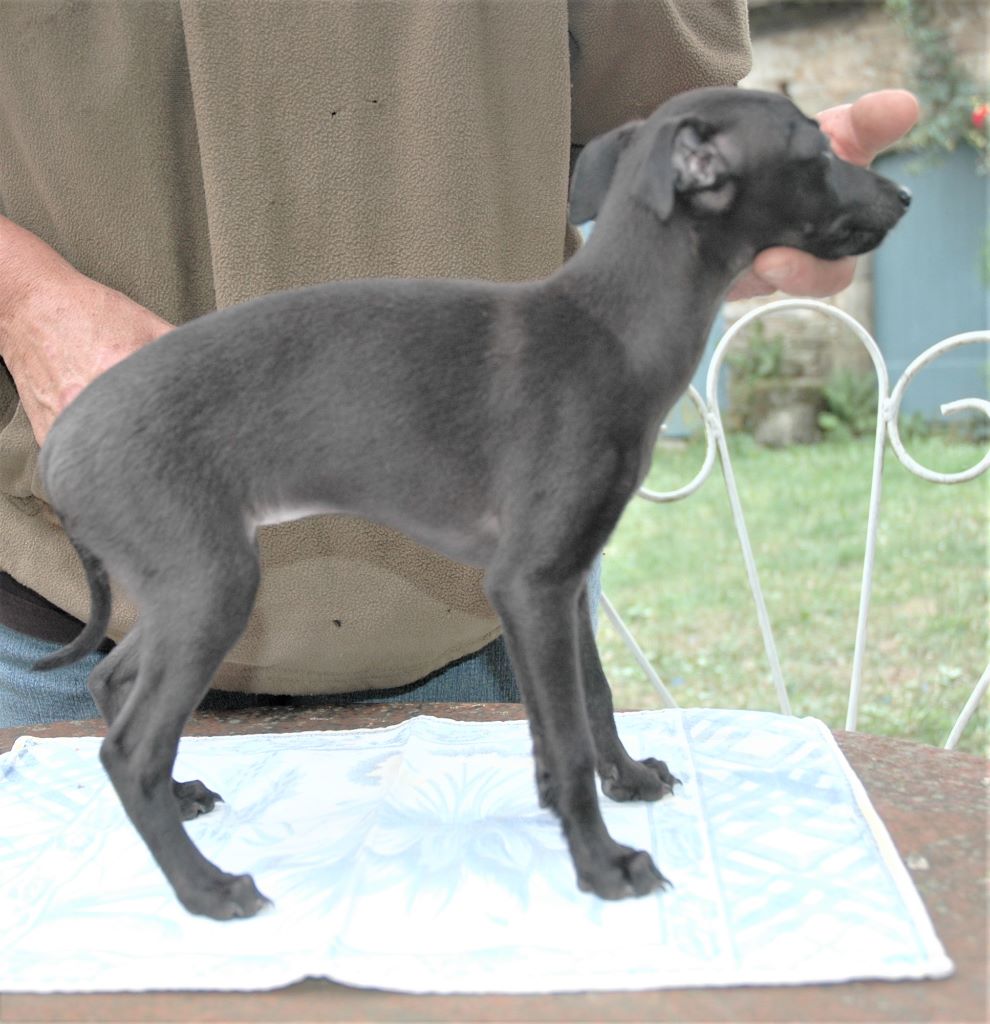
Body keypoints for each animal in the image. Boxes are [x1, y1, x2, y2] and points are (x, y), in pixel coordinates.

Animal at [34, 90, 909, 921]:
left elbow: (590, 699)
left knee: (111, 681)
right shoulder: (529, 582)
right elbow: (565, 738)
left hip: (186, 580)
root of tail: (60, 447)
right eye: (817, 150)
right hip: (210, 585)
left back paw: (183, 801)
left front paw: (626, 780)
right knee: (129, 752)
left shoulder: (564, 580)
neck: (612, 328)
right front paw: (604, 865)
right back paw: (207, 890)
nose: (902, 195)